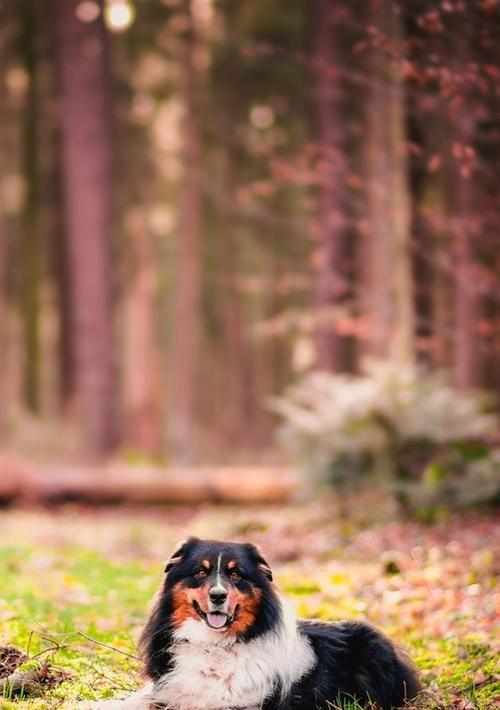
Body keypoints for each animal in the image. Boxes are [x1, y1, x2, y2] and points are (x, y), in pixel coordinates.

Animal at [89, 540, 418, 710]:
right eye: (200, 572)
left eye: (236, 574)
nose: (218, 596)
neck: (214, 644)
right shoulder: (167, 689)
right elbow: (135, 699)